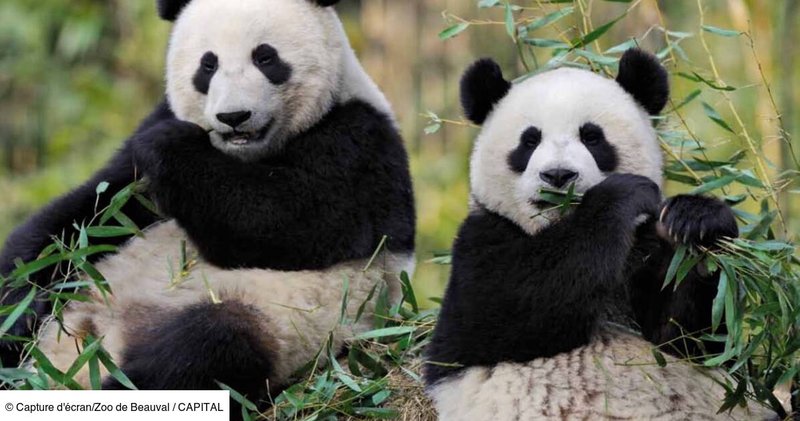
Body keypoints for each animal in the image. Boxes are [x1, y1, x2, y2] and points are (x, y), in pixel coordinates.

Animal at [0, 0, 416, 403]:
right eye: (208, 64)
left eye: (266, 58)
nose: (234, 117)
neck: (242, 154)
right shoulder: (146, 147)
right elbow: (85, 218)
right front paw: (15, 304)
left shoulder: (360, 147)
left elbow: (279, 222)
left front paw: (170, 145)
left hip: (279, 322)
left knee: (202, 350)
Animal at [423, 49, 777, 420]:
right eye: (529, 140)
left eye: (592, 137)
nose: (558, 175)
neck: (557, 227)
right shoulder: (481, 241)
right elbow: (506, 309)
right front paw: (621, 194)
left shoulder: (644, 258)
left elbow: (690, 338)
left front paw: (696, 220)